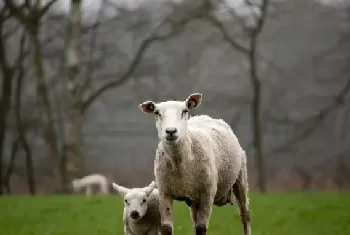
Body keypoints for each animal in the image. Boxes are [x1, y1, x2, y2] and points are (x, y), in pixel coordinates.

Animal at [138, 93, 250, 235]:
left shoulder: (208, 193)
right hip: (194, 198)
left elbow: (201, 228)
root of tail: (207, 117)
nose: (171, 131)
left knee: (245, 214)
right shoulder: (164, 192)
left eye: (184, 111)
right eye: (157, 113)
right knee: (194, 221)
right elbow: (167, 228)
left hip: (241, 177)